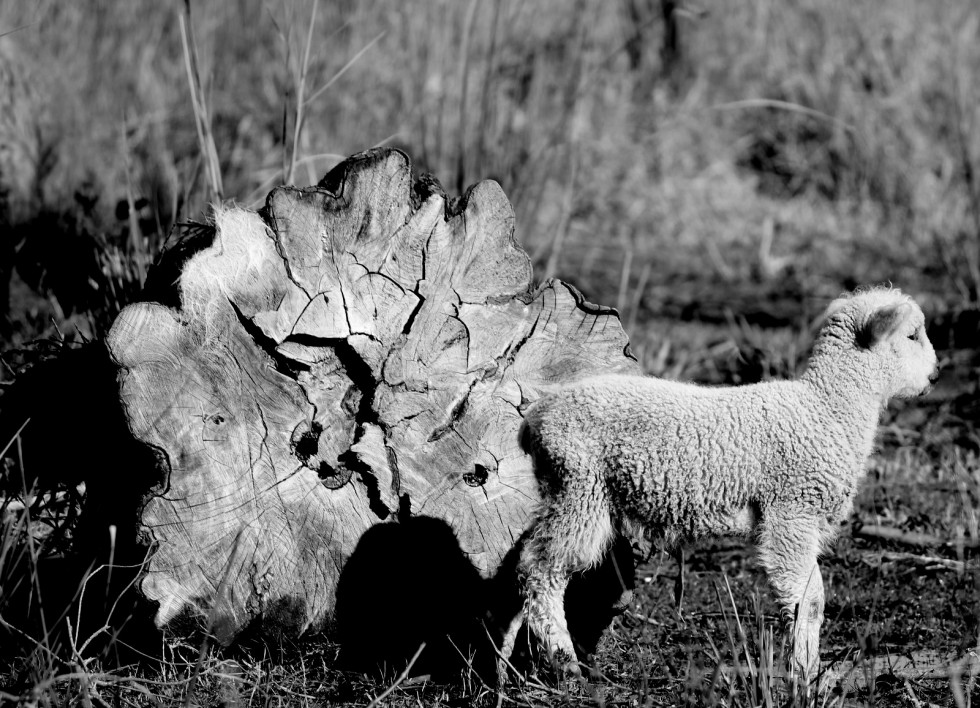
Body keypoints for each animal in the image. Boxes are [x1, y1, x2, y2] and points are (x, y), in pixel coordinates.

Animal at [502, 286, 936, 684]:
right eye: (912, 335)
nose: (934, 376)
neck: (827, 407)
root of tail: (535, 419)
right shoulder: (791, 510)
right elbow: (806, 600)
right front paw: (803, 675)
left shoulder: (804, 515)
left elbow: (810, 600)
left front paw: (810, 673)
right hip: (579, 485)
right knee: (541, 568)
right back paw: (564, 662)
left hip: (568, 488)